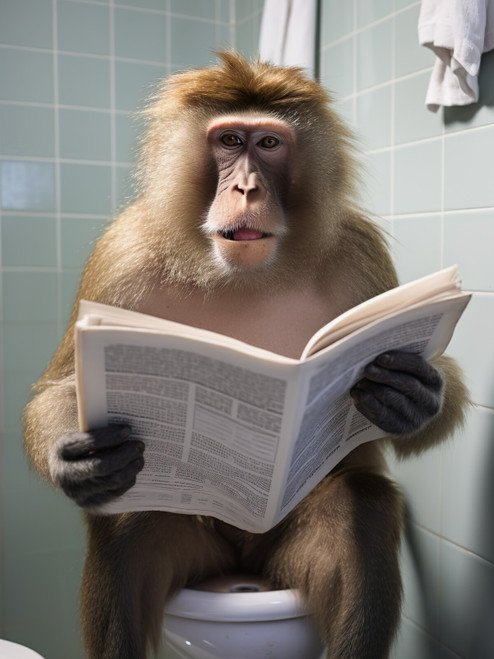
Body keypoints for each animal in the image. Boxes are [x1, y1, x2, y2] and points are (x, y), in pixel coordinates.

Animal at [23, 52, 468, 659]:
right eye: (231, 139)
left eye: (270, 144)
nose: (247, 188)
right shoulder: (123, 253)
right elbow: (63, 387)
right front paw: (78, 462)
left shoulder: (359, 251)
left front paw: (412, 394)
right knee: (129, 521)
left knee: (362, 505)